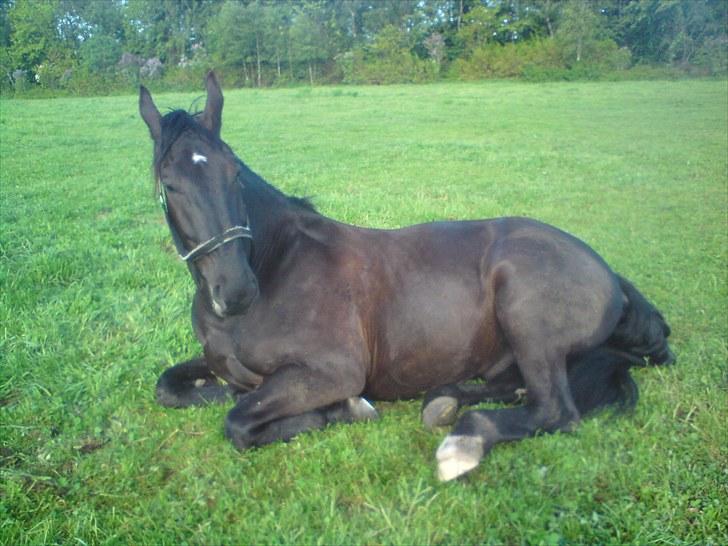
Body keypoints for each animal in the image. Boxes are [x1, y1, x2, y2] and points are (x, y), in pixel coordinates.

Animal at [139, 73, 672, 480]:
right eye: (170, 184)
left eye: (233, 173)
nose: (235, 290)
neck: (275, 267)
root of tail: (608, 274)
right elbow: (173, 388)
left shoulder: (333, 371)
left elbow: (237, 422)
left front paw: (345, 409)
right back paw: (445, 402)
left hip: (525, 311)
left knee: (555, 411)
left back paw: (463, 443)